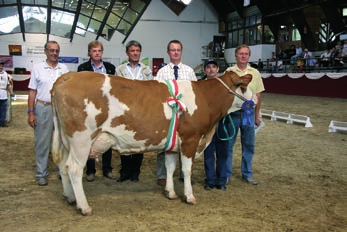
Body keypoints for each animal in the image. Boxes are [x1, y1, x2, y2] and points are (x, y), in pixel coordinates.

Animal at [50, 70, 253, 216]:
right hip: (81, 139)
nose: (253, 100)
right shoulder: (191, 139)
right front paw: (189, 196)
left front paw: (170, 192)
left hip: (66, 141)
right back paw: (84, 207)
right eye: (244, 86)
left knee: (63, 166)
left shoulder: (174, 143)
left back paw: (70, 198)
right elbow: (186, 170)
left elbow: (170, 167)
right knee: (74, 169)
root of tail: (67, 76)